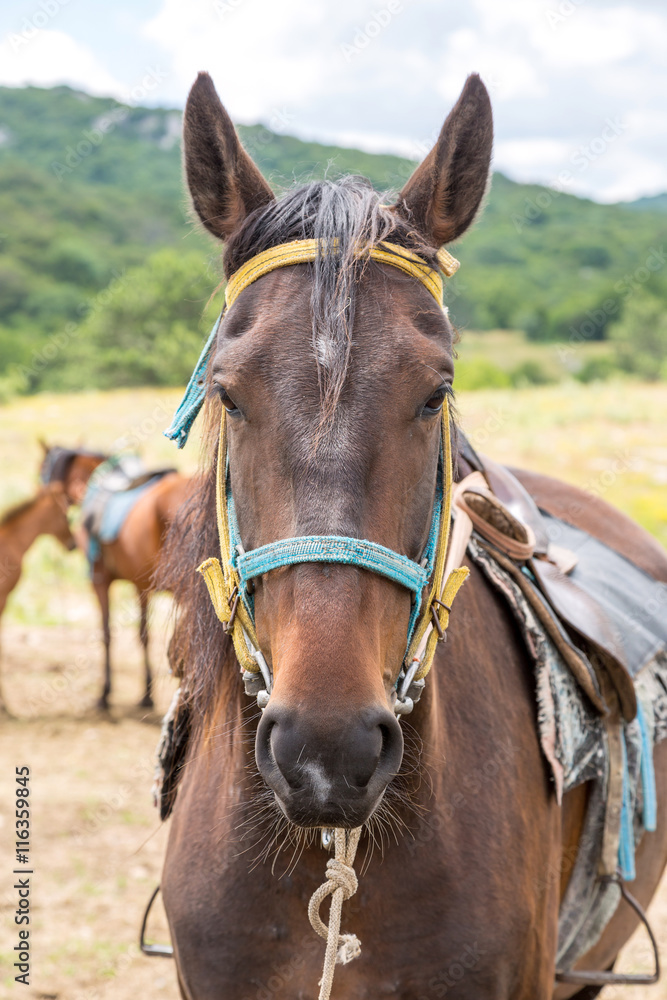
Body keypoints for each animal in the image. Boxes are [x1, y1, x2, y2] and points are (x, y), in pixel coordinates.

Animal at [40, 446, 193, 710]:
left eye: (43, 470)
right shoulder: (142, 586)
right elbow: (144, 635)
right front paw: (146, 694)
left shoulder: (102, 582)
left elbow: (109, 634)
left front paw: (108, 692)